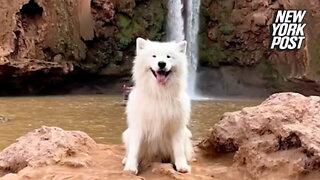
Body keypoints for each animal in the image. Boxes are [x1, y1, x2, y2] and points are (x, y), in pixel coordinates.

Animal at [122, 37, 192, 174]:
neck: (159, 94)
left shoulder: (176, 126)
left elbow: (178, 149)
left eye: (169, 56)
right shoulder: (138, 126)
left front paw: (182, 166)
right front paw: (130, 167)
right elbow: (134, 149)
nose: (162, 64)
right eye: (154, 56)